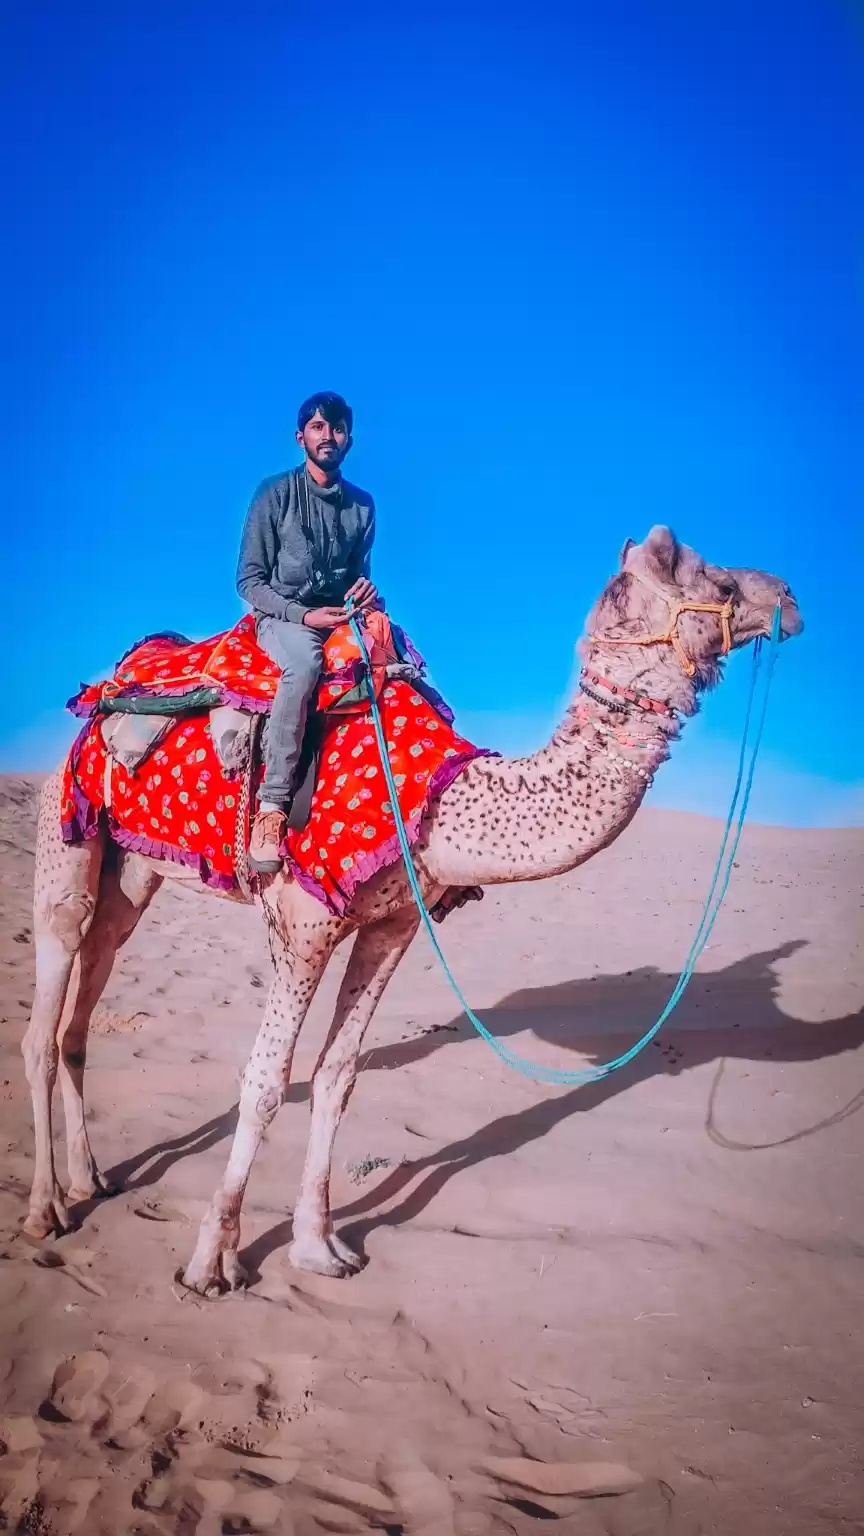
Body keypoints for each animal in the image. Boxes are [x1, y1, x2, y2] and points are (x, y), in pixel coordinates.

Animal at [21, 526, 801, 1294]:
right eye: (720, 582)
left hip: (135, 873)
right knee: (47, 1005)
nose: (789, 598)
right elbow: (267, 1083)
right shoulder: (301, 926)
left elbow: (336, 1078)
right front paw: (212, 1261)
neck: (437, 797)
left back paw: (92, 1179)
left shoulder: (392, 926)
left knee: (88, 996)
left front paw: (318, 1247)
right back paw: (45, 1211)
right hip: (68, 830)